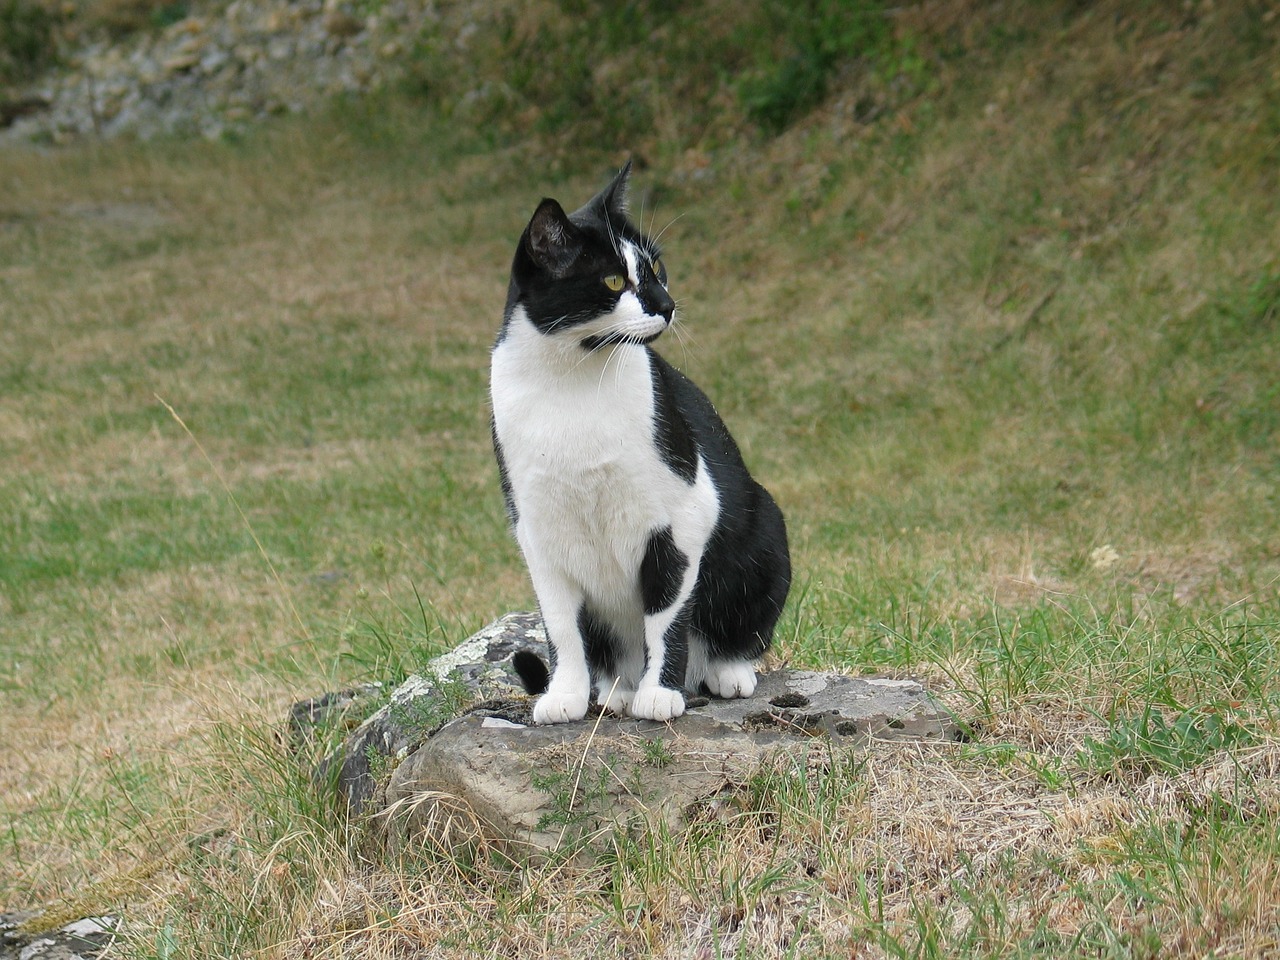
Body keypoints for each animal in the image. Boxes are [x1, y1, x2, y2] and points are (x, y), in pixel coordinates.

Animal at [488, 163, 788, 721]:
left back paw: (722, 672)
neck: (573, 382)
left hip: (765, 527)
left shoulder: (683, 517)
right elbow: (561, 627)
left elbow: (666, 616)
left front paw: (661, 692)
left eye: (657, 269)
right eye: (613, 279)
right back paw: (615, 690)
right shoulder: (537, 532)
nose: (667, 306)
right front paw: (564, 696)